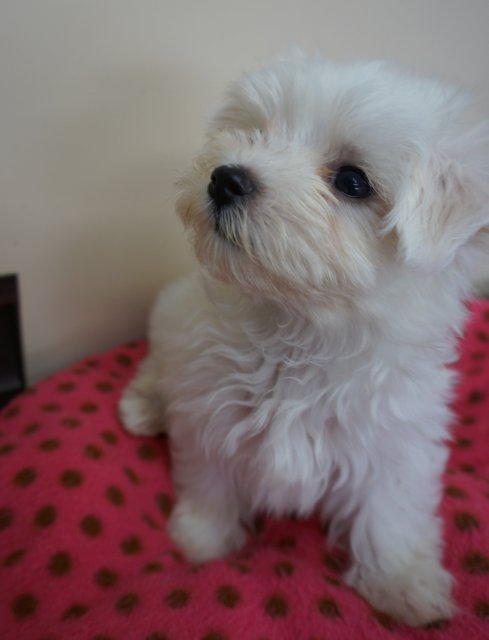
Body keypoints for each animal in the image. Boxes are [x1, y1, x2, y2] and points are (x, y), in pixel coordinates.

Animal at [120, 51, 489, 626]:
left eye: (353, 181)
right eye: (256, 131)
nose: (226, 177)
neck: (298, 328)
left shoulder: (396, 437)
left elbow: (392, 507)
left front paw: (404, 583)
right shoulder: (209, 410)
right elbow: (209, 478)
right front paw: (201, 539)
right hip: (171, 324)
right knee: (157, 372)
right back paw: (144, 407)